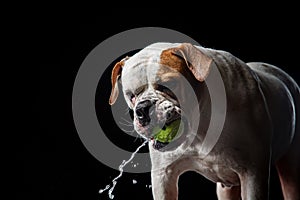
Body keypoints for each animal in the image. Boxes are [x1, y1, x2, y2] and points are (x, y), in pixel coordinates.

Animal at [109, 43, 298, 199]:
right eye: (131, 96)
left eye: (169, 85)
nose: (142, 108)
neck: (199, 127)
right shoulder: (163, 176)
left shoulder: (253, 174)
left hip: (290, 170)